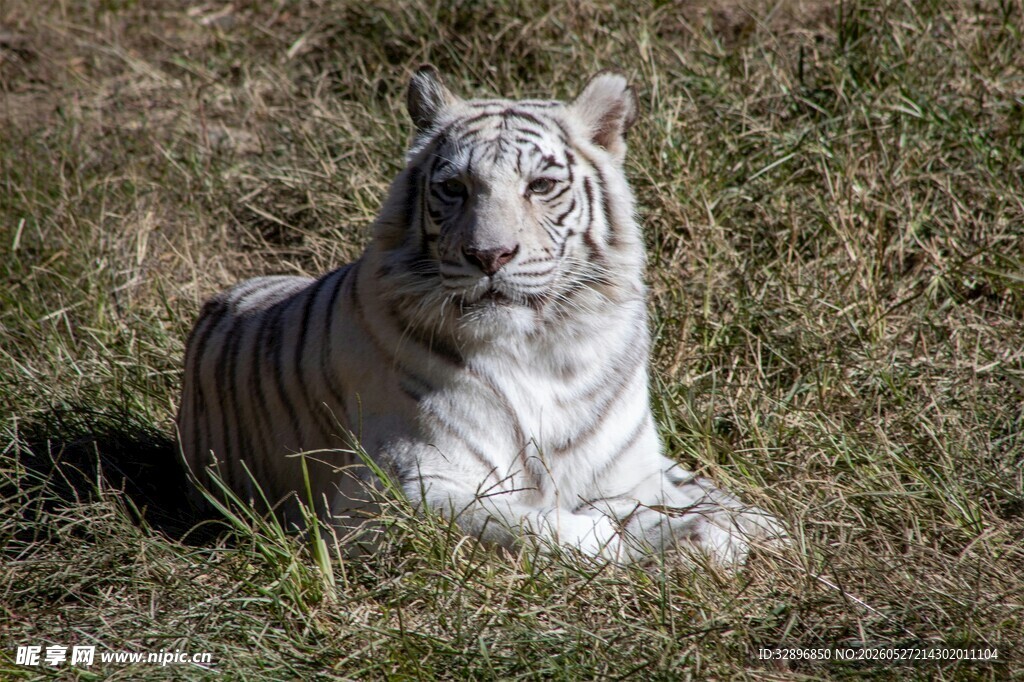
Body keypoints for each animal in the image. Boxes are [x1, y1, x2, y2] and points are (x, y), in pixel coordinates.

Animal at [177, 66, 784, 566]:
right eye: (453, 188)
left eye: (541, 185)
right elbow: (532, 525)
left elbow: (702, 500)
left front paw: (743, 532)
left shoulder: (632, 471)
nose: (489, 255)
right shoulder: (387, 494)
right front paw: (655, 540)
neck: (543, 350)